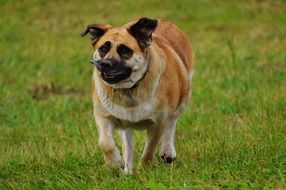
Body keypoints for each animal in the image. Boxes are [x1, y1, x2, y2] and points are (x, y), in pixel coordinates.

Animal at [81, 17, 196, 172]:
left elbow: (149, 149)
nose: (105, 63)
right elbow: (105, 142)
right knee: (127, 143)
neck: (128, 89)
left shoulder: (158, 122)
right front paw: (116, 163)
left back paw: (167, 151)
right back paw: (127, 169)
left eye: (124, 50)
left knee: (171, 123)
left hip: (183, 97)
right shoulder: (103, 116)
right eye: (103, 48)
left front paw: (145, 169)